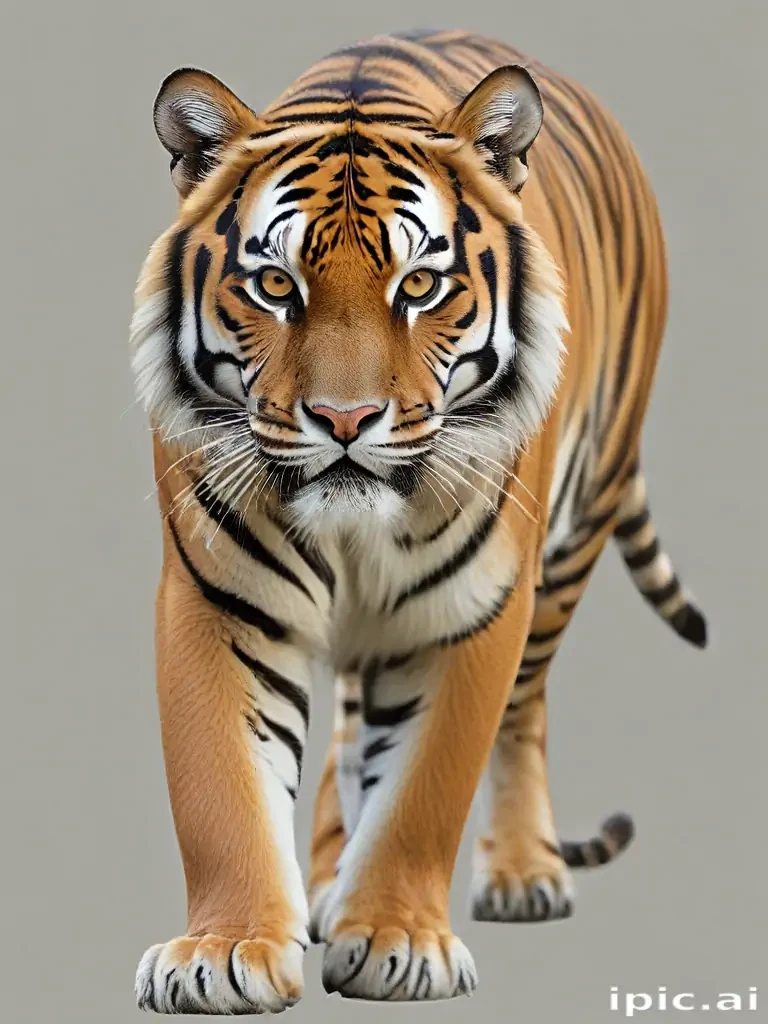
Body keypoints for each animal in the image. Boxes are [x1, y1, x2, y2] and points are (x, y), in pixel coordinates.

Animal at [130, 28, 707, 1013]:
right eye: (275, 284)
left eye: (422, 285)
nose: (346, 419)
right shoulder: (217, 603)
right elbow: (223, 791)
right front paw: (227, 951)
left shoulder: (471, 611)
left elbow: (426, 786)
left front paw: (398, 940)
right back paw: (329, 883)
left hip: (573, 539)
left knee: (524, 711)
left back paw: (522, 873)